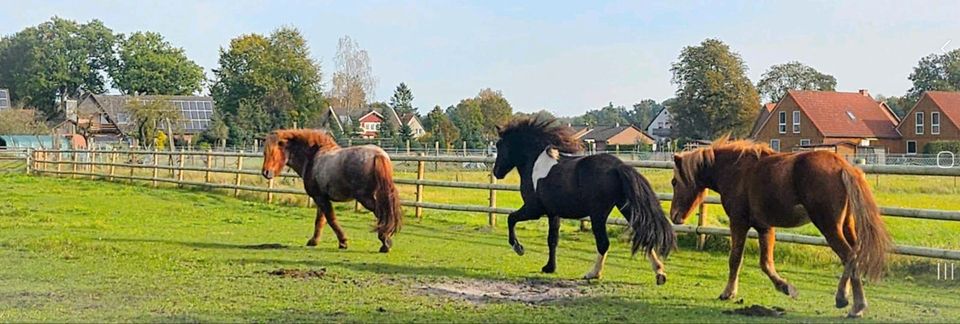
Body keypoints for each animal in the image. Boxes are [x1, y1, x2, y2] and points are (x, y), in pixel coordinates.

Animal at [258, 129, 402, 253]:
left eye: (272, 152)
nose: (265, 172)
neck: (313, 157)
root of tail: (378, 155)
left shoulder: (319, 197)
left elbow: (331, 219)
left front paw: (343, 242)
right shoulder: (321, 197)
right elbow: (320, 220)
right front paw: (314, 241)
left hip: (365, 198)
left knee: (382, 214)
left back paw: (385, 241)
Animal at [496, 115, 676, 282]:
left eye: (499, 145)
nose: (496, 172)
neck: (535, 163)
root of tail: (618, 166)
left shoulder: (534, 209)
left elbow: (511, 218)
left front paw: (518, 248)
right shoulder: (553, 213)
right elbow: (552, 240)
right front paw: (549, 267)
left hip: (598, 214)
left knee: (603, 243)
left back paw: (593, 274)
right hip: (626, 207)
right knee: (645, 233)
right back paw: (660, 273)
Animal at [672, 138, 888, 318]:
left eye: (674, 181)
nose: (674, 216)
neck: (736, 170)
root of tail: (842, 166)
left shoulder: (739, 222)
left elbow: (735, 259)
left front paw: (728, 293)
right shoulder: (765, 227)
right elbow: (766, 263)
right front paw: (785, 287)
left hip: (829, 227)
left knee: (849, 255)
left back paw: (851, 303)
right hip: (846, 226)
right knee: (855, 254)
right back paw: (849, 298)